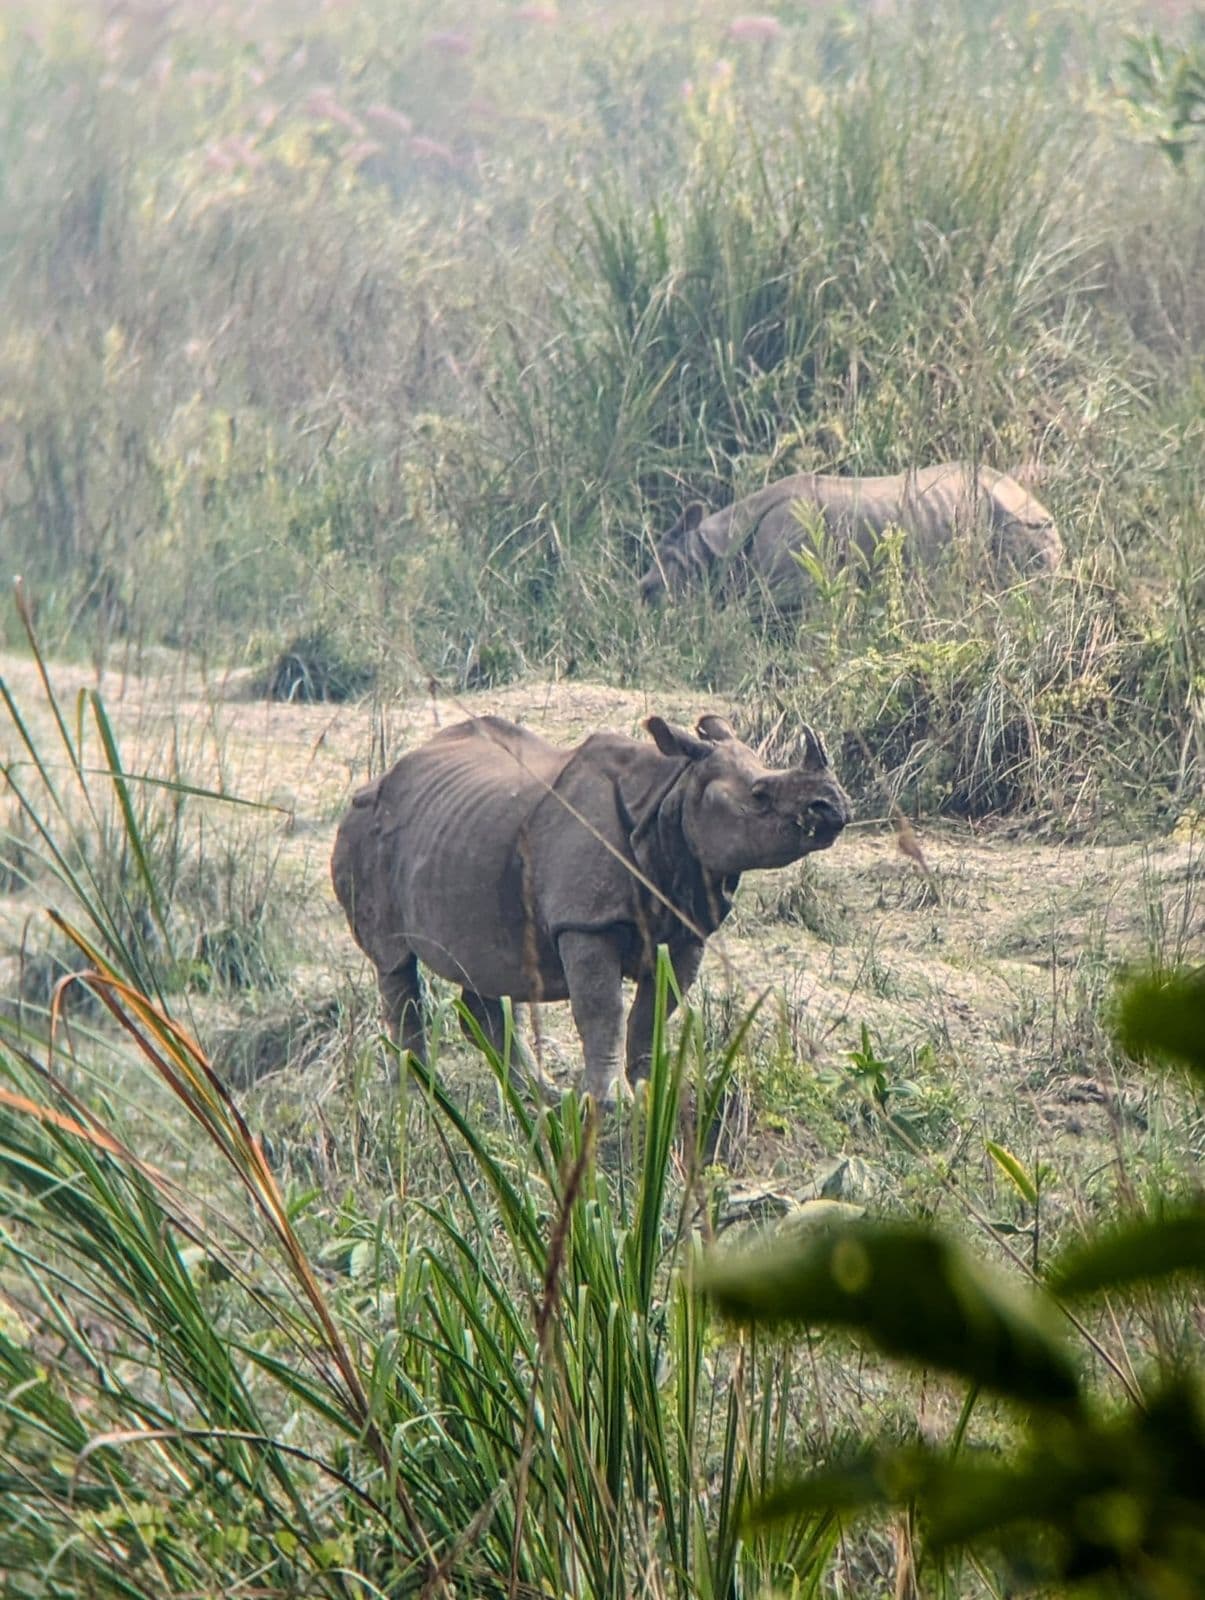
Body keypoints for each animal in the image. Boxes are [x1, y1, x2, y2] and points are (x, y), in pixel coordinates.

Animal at [331, 712, 851, 1103]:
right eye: (760, 796)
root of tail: (380, 777)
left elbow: (654, 1011)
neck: (670, 795)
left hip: (464, 833)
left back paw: (538, 1094)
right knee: (394, 963)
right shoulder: (585, 920)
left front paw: (652, 1092)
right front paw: (610, 1101)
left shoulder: (687, 925)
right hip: (364, 828)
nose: (835, 808)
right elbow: (604, 1011)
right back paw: (420, 1097)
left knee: (487, 967)